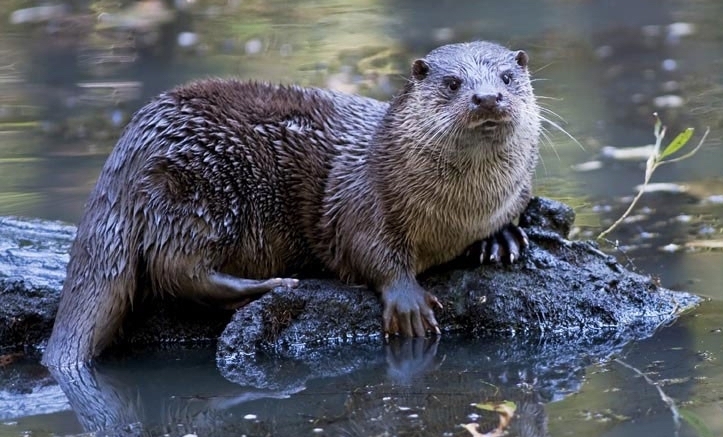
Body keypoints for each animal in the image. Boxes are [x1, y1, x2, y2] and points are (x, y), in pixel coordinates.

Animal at [43, 41, 540, 367]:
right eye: (453, 83)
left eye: (507, 77)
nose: (487, 97)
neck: (459, 214)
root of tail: (131, 145)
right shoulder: (361, 197)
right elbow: (370, 250)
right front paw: (408, 301)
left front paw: (502, 238)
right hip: (200, 189)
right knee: (175, 267)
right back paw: (266, 286)